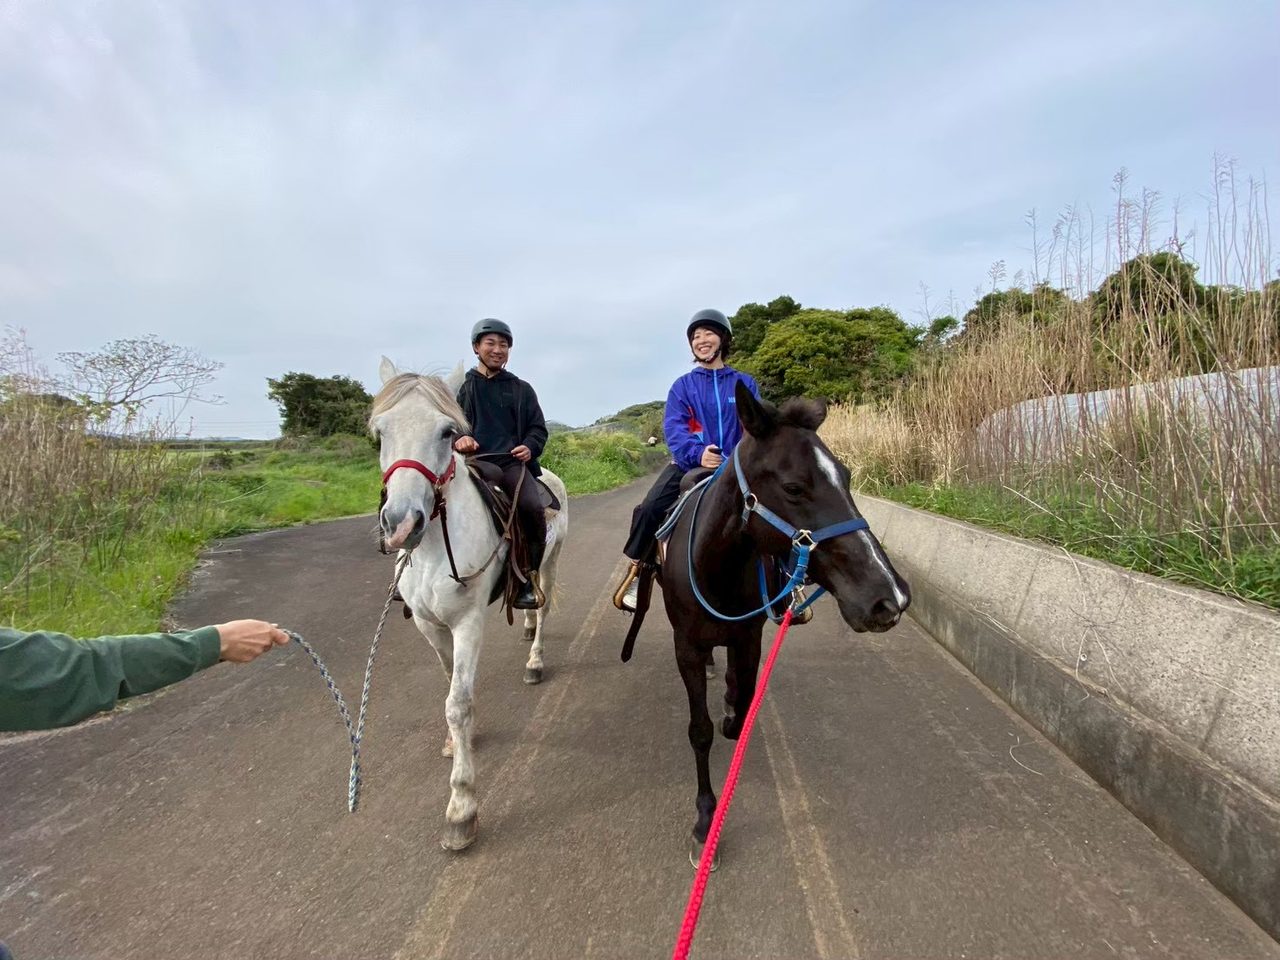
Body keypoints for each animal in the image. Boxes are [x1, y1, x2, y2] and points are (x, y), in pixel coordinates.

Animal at [372, 357, 569, 851]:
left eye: (447, 432)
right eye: (380, 432)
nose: (402, 525)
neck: (432, 551)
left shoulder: (467, 624)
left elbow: (458, 702)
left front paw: (461, 807)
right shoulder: (429, 625)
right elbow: (448, 684)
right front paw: (452, 743)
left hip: (551, 561)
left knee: (544, 606)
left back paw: (535, 659)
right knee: (531, 605)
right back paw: (526, 627)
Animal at [661, 381, 910, 865]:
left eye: (846, 477)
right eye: (794, 487)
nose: (889, 598)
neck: (713, 566)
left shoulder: (749, 638)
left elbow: (741, 709)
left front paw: (731, 715)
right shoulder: (687, 647)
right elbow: (700, 731)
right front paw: (705, 819)